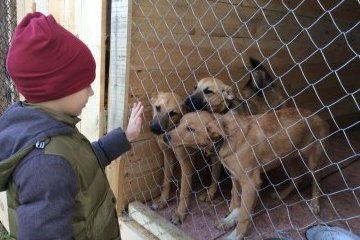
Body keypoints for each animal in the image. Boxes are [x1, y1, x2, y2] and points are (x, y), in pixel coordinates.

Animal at [148, 92, 219, 225]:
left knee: (216, 175)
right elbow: (166, 182)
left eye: (172, 113)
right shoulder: (168, 157)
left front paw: (180, 213)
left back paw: (211, 193)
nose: (155, 129)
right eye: (157, 108)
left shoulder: (185, 162)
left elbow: (184, 191)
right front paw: (162, 201)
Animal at [163, 109, 330, 240]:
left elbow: (244, 214)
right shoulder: (235, 177)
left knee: (317, 181)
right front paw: (229, 220)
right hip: (287, 158)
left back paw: (315, 204)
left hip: (314, 160)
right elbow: (237, 201)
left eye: (190, 129)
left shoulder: (250, 183)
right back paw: (281, 194)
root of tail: (318, 116)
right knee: (297, 176)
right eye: (179, 123)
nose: (165, 137)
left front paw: (235, 235)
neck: (226, 138)